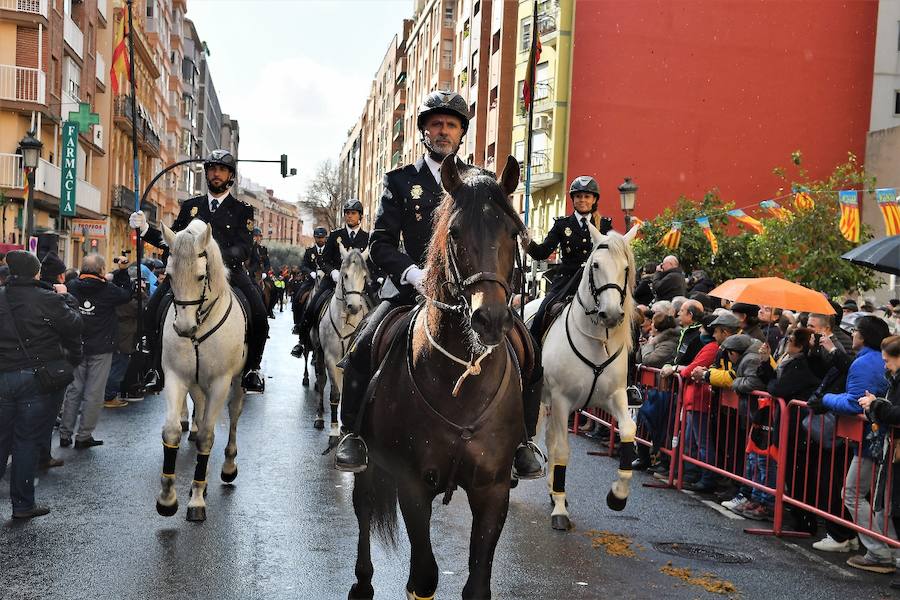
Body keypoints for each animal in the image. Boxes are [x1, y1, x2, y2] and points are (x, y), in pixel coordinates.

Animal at [154, 219, 246, 520]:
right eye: (169, 276)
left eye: (200, 276)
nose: (183, 328)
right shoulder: (175, 377)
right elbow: (171, 431)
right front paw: (168, 498)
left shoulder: (220, 382)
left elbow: (207, 436)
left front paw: (195, 499)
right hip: (196, 383)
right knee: (201, 407)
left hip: (237, 381)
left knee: (234, 413)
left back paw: (228, 467)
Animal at [308, 243, 368, 446]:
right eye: (345, 275)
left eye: (364, 276)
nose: (354, 307)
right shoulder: (331, 358)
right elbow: (334, 393)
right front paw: (334, 431)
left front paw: (344, 427)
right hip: (318, 352)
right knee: (321, 381)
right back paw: (319, 418)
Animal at [346, 156, 528, 600]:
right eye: (455, 231)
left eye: (513, 231)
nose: (490, 318)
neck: (463, 375)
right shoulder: (413, 484)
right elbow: (424, 575)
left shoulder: (493, 488)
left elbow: (477, 585)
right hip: (367, 463)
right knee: (363, 507)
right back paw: (363, 580)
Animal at [524, 224, 636, 528]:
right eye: (595, 265)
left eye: (626, 267)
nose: (612, 314)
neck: (596, 340)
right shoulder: (562, 399)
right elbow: (563, 450)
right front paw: (561, 512)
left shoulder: (615, 396)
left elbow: (628, 431)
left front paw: (618, 496)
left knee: (551, 439)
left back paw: (553, 491)